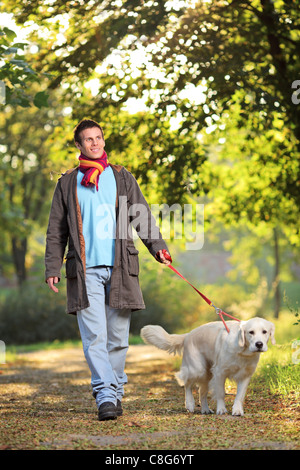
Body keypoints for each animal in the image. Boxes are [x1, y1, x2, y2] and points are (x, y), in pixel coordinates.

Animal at [141, 318, 276, 416]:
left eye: (264, 332)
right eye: (250, 332)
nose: (259, 344)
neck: (243, 351)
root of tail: (188, 335)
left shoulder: (245, 375)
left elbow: (240, 396)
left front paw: (237, 410)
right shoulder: (220, 372)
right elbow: (221, 393)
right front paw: (221, 409)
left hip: (207, 374)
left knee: (201, 392)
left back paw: (205, 409)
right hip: (197, 369)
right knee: (187, 384)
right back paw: (189, 404)